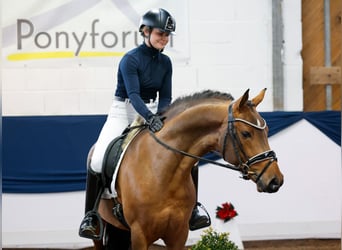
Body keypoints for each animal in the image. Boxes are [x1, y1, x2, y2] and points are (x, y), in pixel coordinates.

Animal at [94, 89, 284, 249]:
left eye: (267, 130)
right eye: (246, 133)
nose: (276, 180)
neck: (161, 173)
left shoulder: (178, 234)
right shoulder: (140, 234)